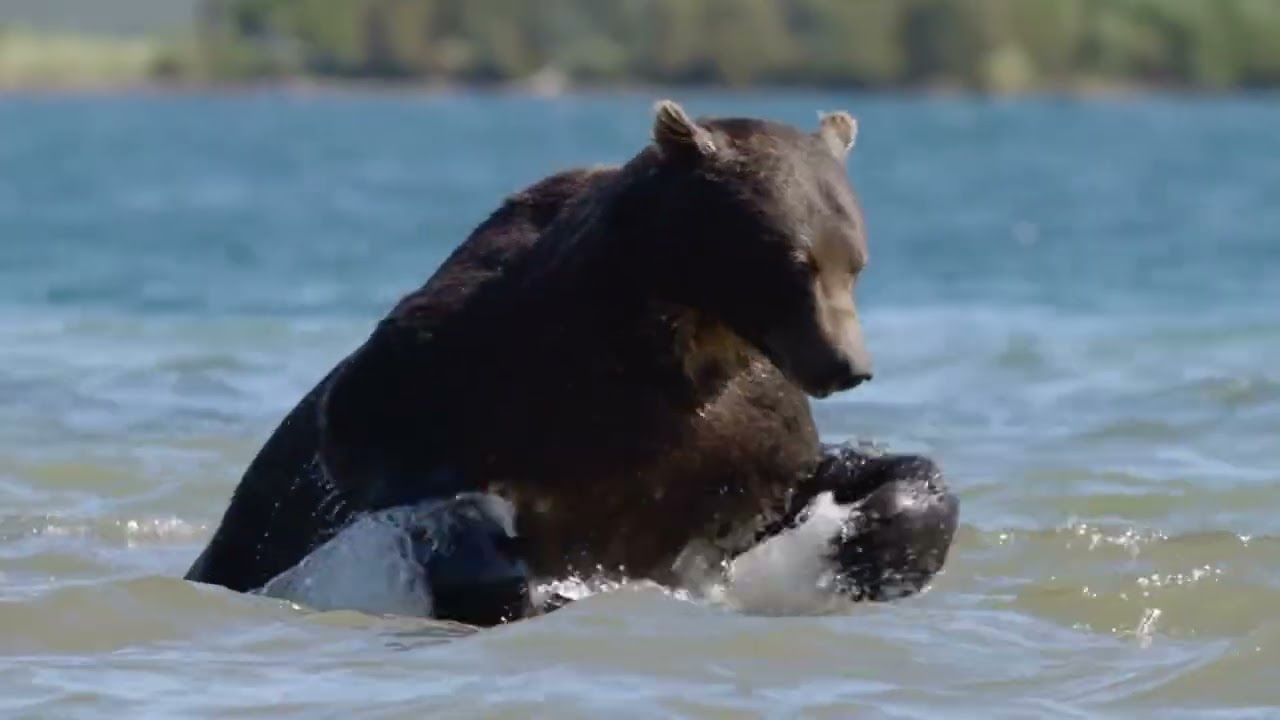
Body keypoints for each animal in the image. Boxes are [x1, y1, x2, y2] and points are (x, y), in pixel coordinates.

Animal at [185, 100, 959, 625]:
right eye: (797, 261)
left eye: (854, 261)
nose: (846, 364)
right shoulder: (463, 376)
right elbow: (398, 463)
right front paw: (531, 585)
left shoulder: (742, 444)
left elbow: (829, 476)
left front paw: (871, 539)